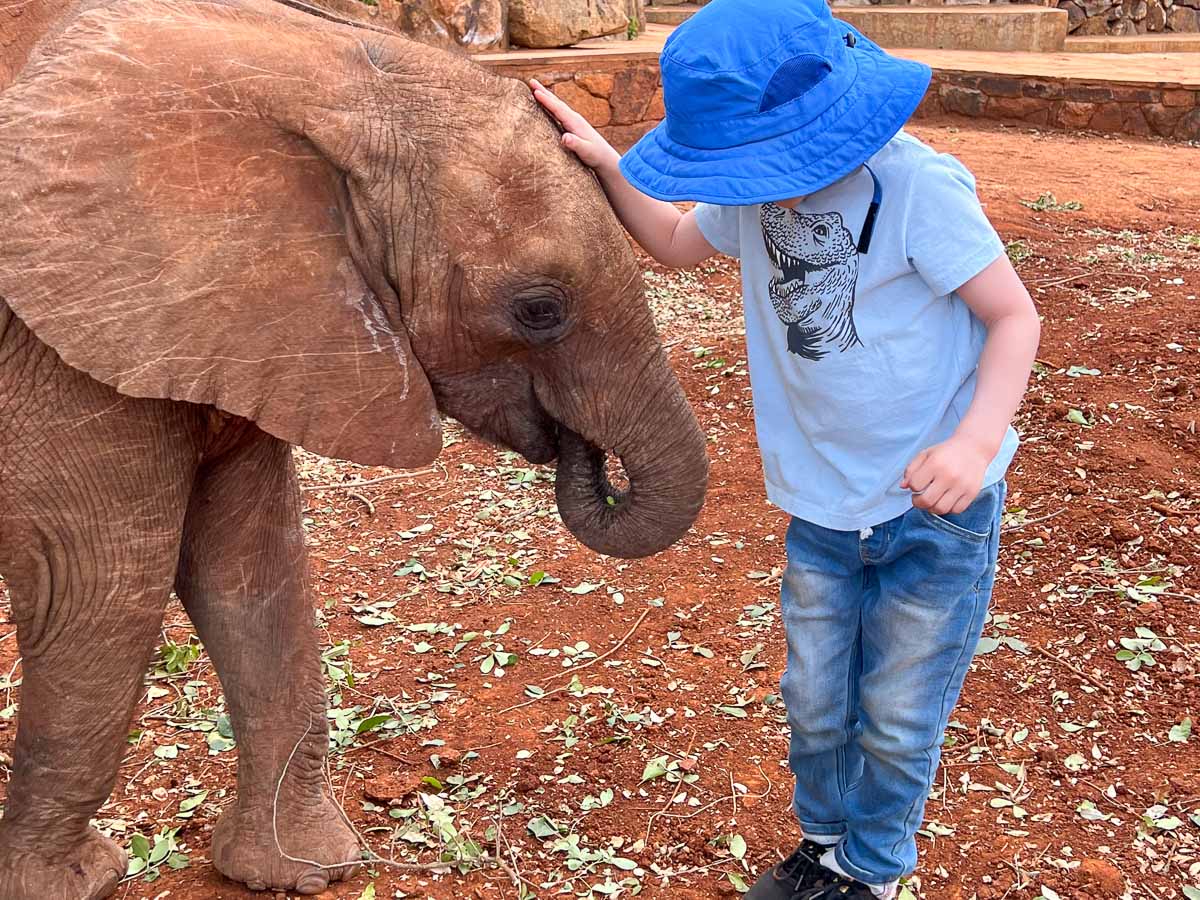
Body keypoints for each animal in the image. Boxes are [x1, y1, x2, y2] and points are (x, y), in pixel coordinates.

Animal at [0, 3, 705, 897]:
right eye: (540, 310)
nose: (582, 451)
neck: (320, 70)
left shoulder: (245, 320)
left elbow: (250, 572)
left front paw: (303, 872)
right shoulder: (66, 344)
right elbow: (99, 593)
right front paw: (75, 884)